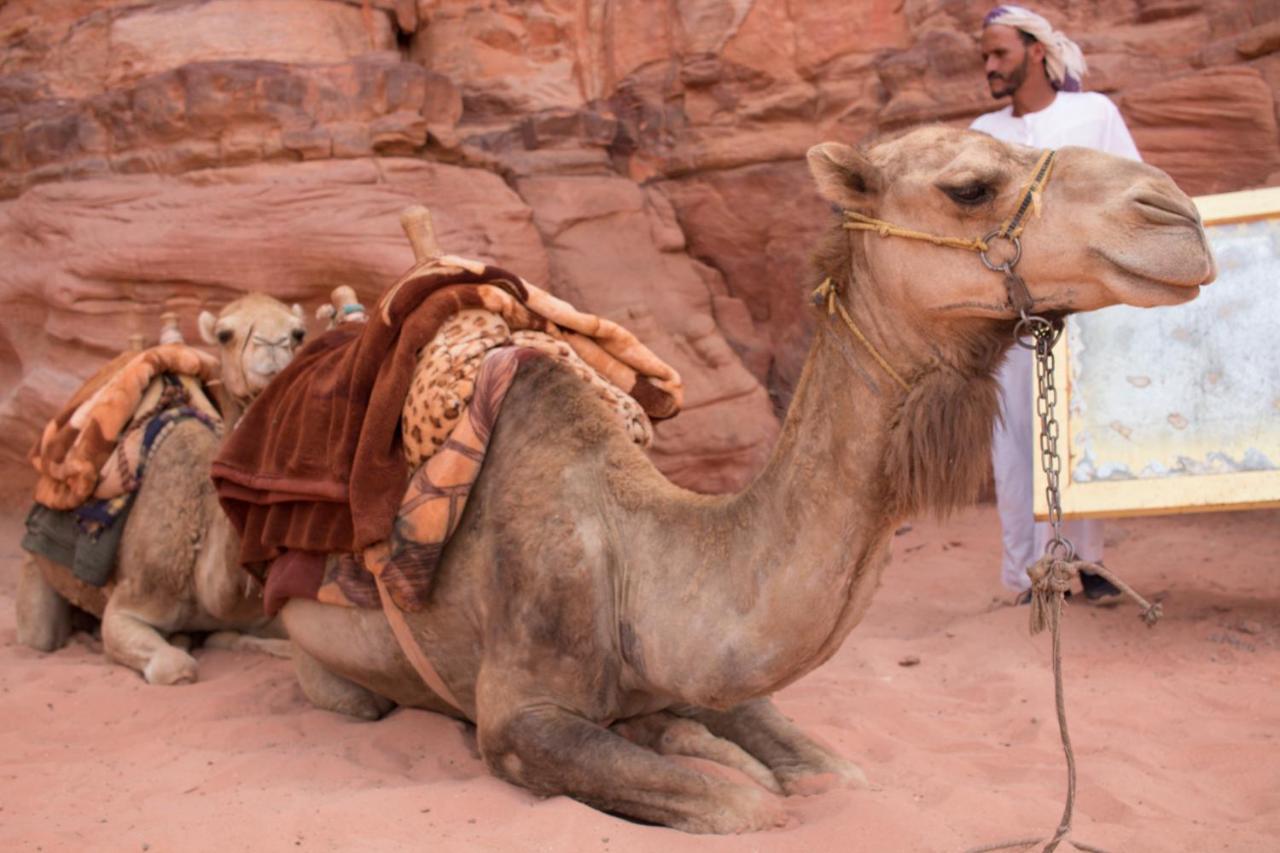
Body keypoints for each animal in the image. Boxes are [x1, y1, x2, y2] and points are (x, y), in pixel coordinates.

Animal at [17, 292, 307, 686]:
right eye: (225, 335)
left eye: (298, 333)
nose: (274, 347)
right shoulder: (129, 604)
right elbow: (177, 667)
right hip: (37, 562)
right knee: (38, 634)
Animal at [275, 126, 1213, 829]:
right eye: (970, 187)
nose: (1177, 212)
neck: (636, 549)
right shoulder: (515, 716)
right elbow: (745, 806)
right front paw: (708, 762)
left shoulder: (705, 670)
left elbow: (830, 771)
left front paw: (711, 741)